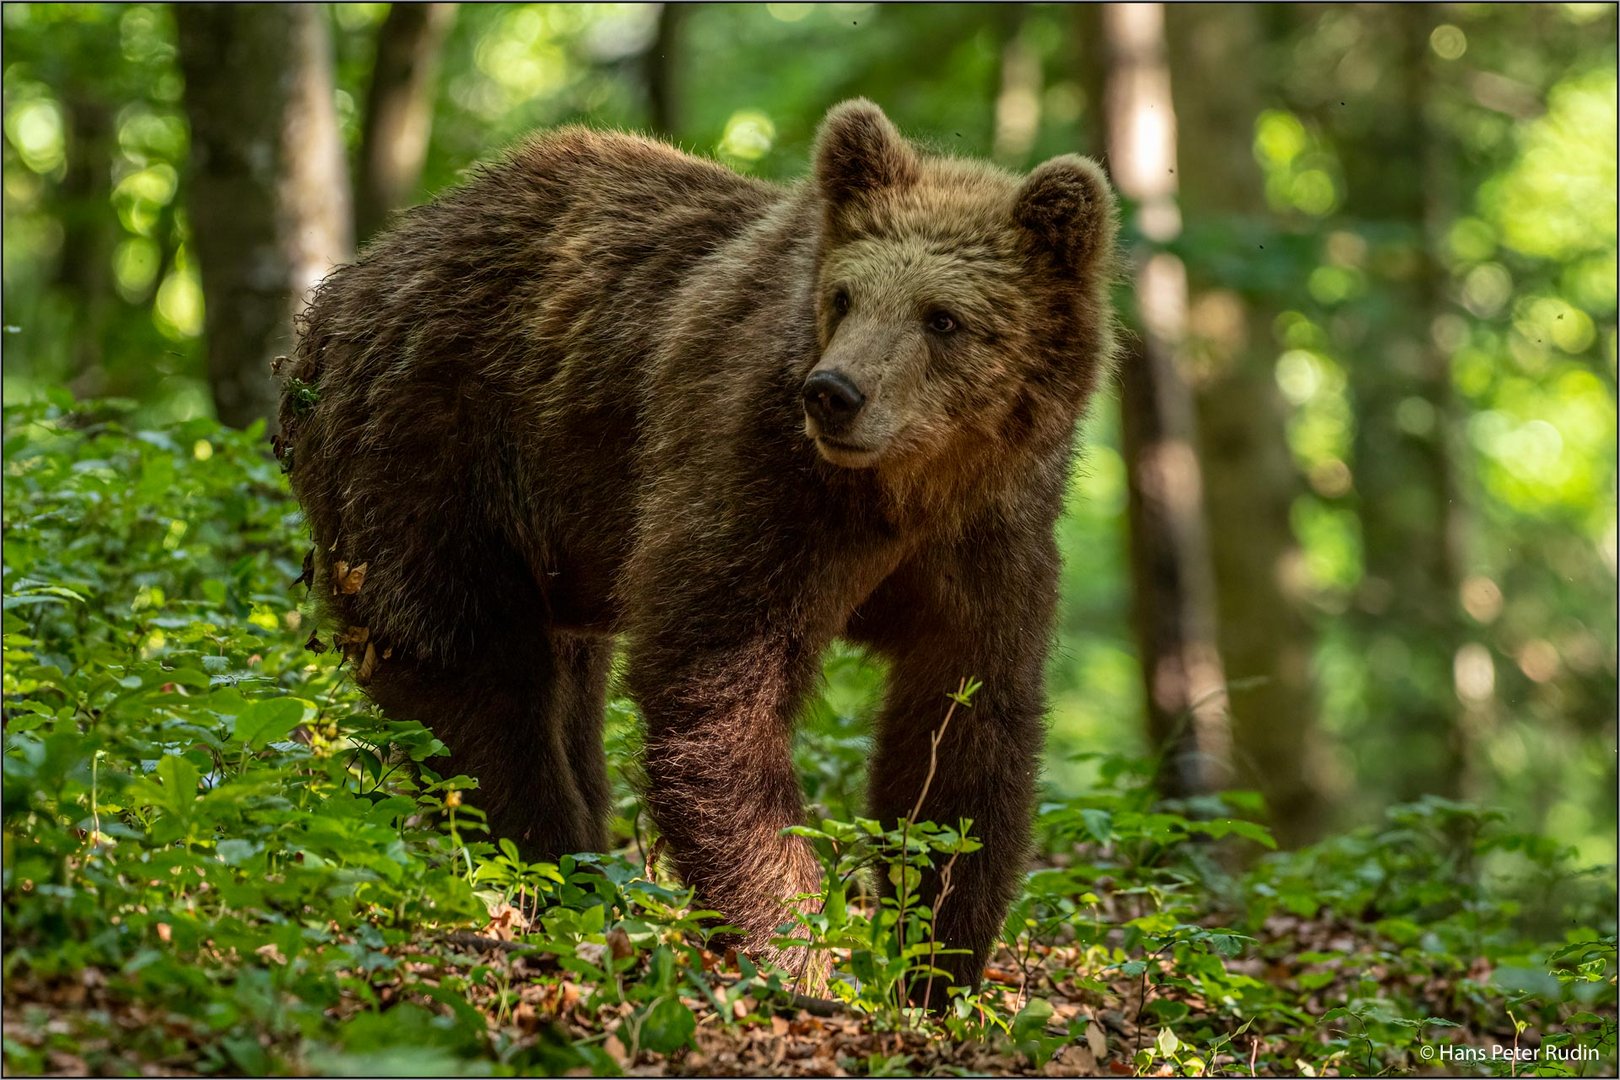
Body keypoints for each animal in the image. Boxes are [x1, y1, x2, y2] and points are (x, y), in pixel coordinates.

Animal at [275, 97, 1114, 1003]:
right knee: (469, 674)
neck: (900, 491)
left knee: (563, 692)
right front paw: (797, 951)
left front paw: (934, 967)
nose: (835, 393)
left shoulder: (988, 539)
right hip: (437, 446)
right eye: (844, 296)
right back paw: (560, 873)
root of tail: (350, 284)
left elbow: (963, 735)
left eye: (944, 318)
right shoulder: (754, 476)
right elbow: (715, 687)